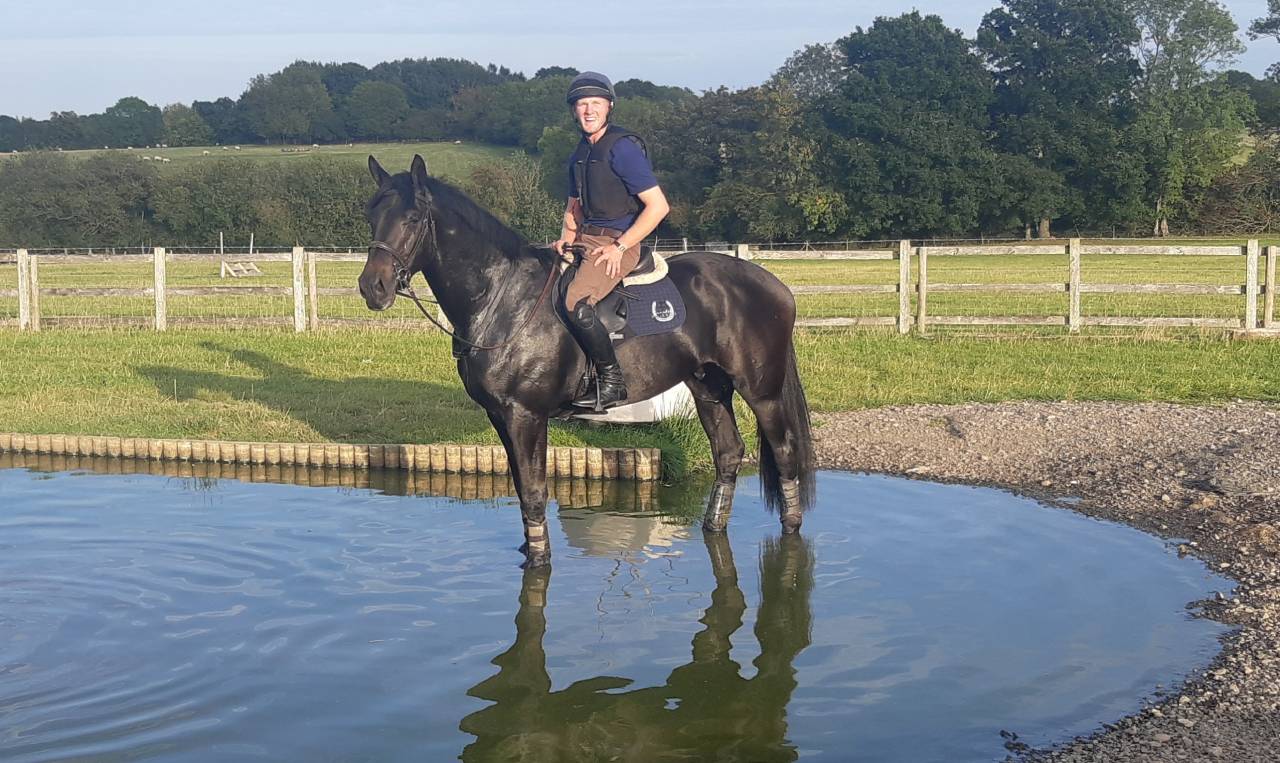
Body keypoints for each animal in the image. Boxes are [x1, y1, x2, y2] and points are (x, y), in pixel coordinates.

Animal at [358, 154, 815, 567]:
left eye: (413, 218)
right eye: (372, 215)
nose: (372, 287)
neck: (502, 300)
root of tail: (774, 285)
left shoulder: (526, 416)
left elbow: (535, 491)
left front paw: (538, 559)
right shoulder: (500, 416)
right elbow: (522, 489)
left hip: (762, 392)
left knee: (785, 451)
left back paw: (791, 527)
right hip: (707, 387)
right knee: (728, 453)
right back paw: (713, 526)